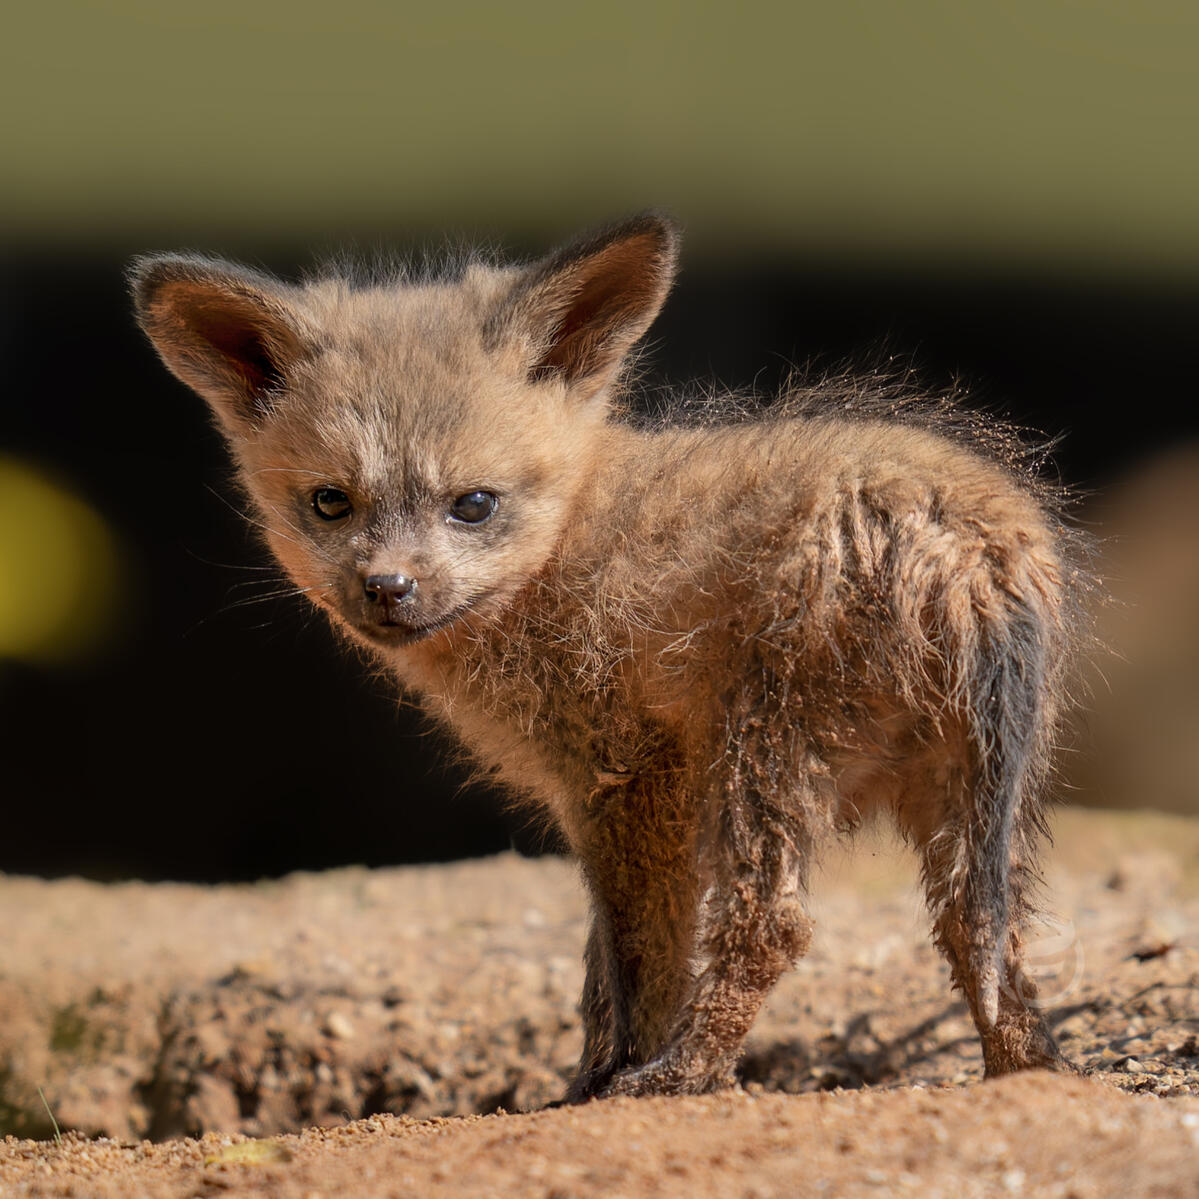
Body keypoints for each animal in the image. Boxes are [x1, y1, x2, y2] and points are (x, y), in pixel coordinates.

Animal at [131, 213, 1091, 1100]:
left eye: (472, 504)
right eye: (331, 502)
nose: (387, 588)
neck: (564, 543)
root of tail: (968, 540)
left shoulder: (629, 777)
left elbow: (636, 964)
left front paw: (602, 1082)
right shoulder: (610, 792)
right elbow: (602, 969)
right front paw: (583, 1080)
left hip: (768, 751)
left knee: (774, 927)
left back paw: (682, 1076)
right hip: (970, 782)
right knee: (983, 927)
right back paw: (1026, 1069)